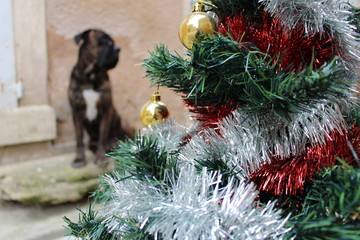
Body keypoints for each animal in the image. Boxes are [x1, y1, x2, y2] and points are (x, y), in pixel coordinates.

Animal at [68, 29, 130, 168]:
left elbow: (103, 135)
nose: (118, 48)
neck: (91, 76)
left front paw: (101, 157)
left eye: (112, 41)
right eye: (103, 40)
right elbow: (79, 138)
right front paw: (79, 158)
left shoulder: (106, 110)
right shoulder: (76, 111)